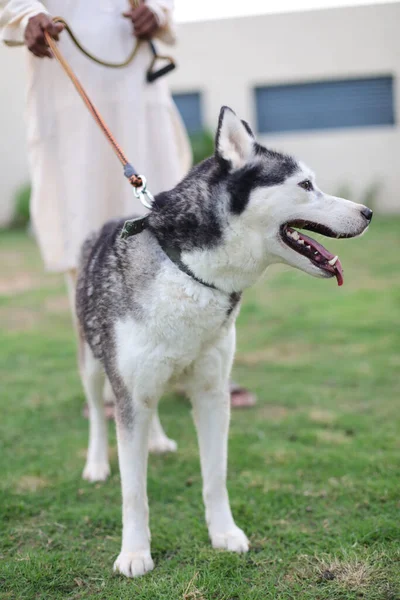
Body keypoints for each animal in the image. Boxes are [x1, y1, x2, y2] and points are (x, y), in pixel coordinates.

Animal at [76, 106, 372, 576]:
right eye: (305, 185)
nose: (368, 212)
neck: (188, 270)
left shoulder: (213, 392)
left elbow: (215, 476)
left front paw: (224, 533)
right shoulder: (130, 391)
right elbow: (134, 490)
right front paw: (135, 553)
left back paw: (157, 440)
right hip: (91, 362)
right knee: (95, 411)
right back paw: (96, 463)